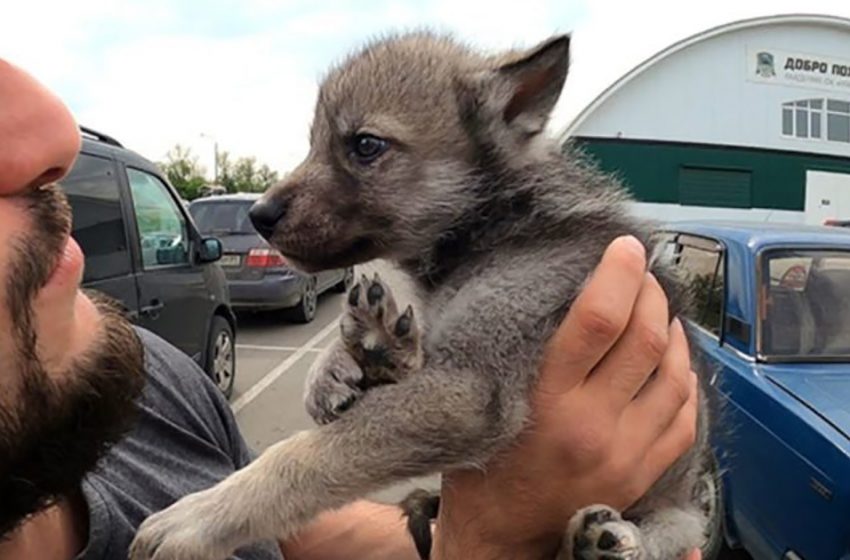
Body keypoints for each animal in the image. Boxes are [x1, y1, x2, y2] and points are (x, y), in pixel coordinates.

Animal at [129, 31, 704, 560]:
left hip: (676, 514)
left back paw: (599, 543)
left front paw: (200, 517)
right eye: (314, 142)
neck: (496, 224)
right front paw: (341, 364)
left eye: (365, 145)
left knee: (665, 535)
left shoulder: (468, 389)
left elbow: (305, 457)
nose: (257, 217)